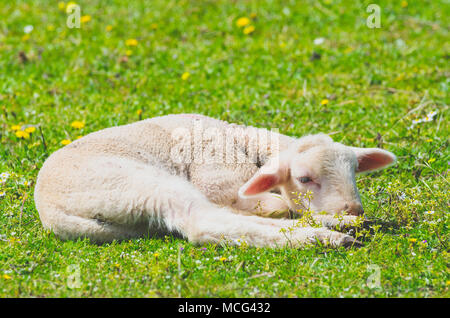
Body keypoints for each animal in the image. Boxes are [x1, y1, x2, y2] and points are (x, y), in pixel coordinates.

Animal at [33, 114, 396, 248]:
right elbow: (276, 205)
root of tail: (51, 212)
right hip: (140, 184)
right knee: (203, 223)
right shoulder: (219, 181)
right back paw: (327, 237)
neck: (244, 141)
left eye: (354, 172)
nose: (353, 211)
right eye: (305, 178)